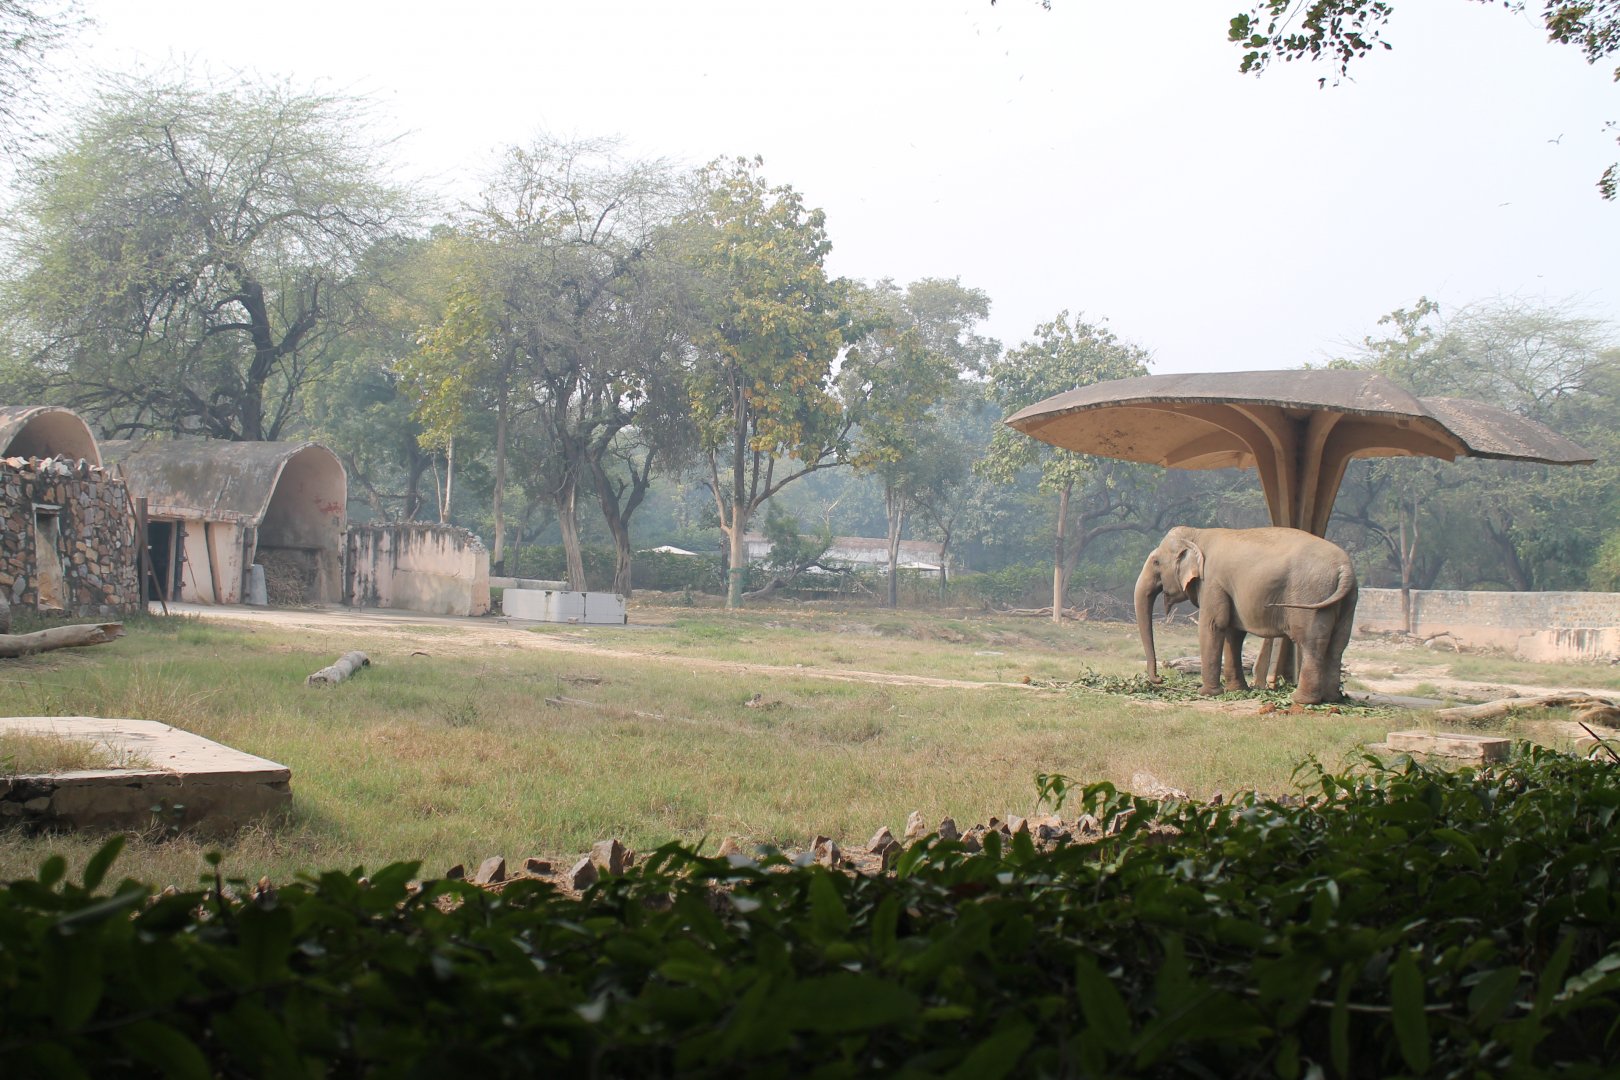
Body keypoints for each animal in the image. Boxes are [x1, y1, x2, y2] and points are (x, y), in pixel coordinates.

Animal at [1134, 526, 1358, 705]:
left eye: (1156, 562)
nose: (1160, 678)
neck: (1197, 533)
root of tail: (1345, 568)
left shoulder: (1212, 581)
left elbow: (1213, 625)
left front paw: (1206, 693)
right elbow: (1233, 632)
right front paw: (1236, 690)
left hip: (1311, 596)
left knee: (1311, 642)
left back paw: (1301, 700)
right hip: (1348, 601)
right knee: (1338, 644)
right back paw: (1332, 699)